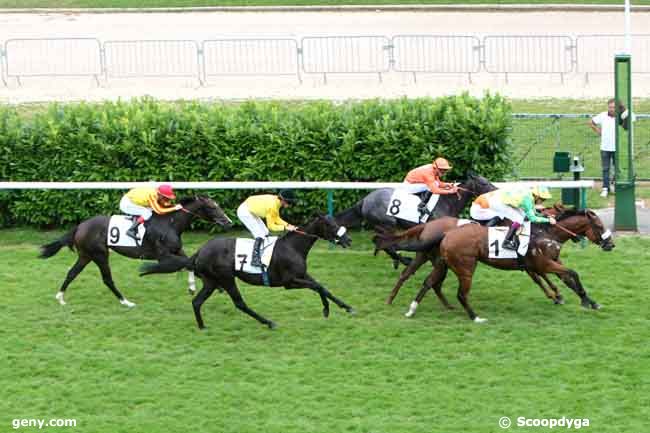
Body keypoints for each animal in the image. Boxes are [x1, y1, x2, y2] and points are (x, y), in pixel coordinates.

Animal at [374, 209, 612, 320]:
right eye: (600, 226)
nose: (611, 244)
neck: (547, 233)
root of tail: (433, 228)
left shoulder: (545, 262)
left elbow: (567, 278)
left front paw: (588, 301)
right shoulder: (542, 264)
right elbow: (571, 274)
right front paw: (578, 299)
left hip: (438, 261)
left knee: (426, 281)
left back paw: (410, 307)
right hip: (453, 263)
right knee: (433, 282)